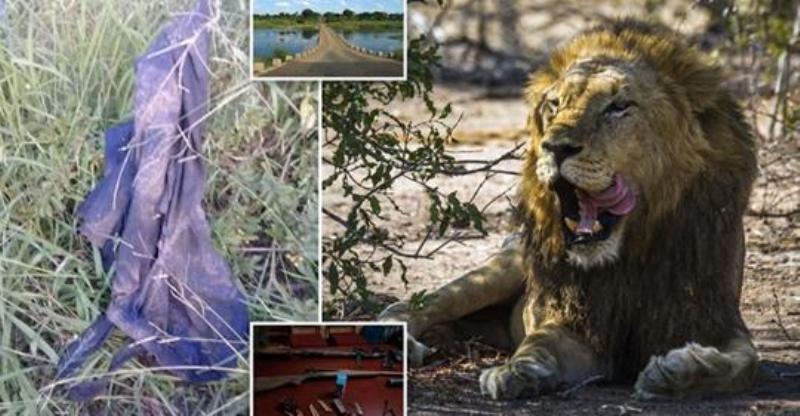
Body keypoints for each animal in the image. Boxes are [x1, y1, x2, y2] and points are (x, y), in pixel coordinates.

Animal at [379, 19, 759, 400]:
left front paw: (679, 371)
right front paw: (516, 371)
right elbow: (540, 340)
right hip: (500, 270)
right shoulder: (579, 322)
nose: (556, 147)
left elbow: (744, 363)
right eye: (554, 104)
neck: (632, 254)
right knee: (416, 304)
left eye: (619, 106)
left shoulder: (712, 317)